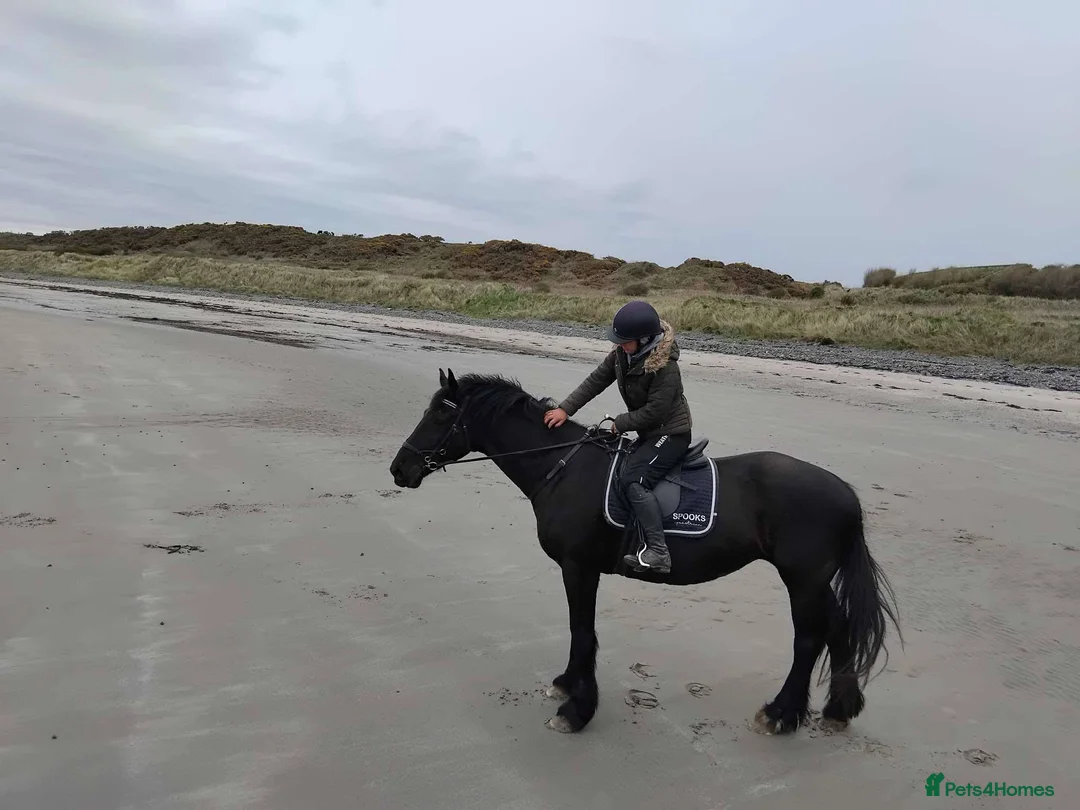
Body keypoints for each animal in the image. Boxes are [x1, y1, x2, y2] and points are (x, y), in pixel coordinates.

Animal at [390, 368, 902, 735]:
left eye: (442, 414)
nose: (400, 469)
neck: (564, 468)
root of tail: (846, 495)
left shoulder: (579, 567)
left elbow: (582, 631)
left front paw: (578, 709)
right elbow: (580, 631)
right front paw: (567, 686)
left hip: (803, 578)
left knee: (810, 638)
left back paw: (781, 714)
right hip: (815, 580)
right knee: (839, 628)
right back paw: (838, 709)